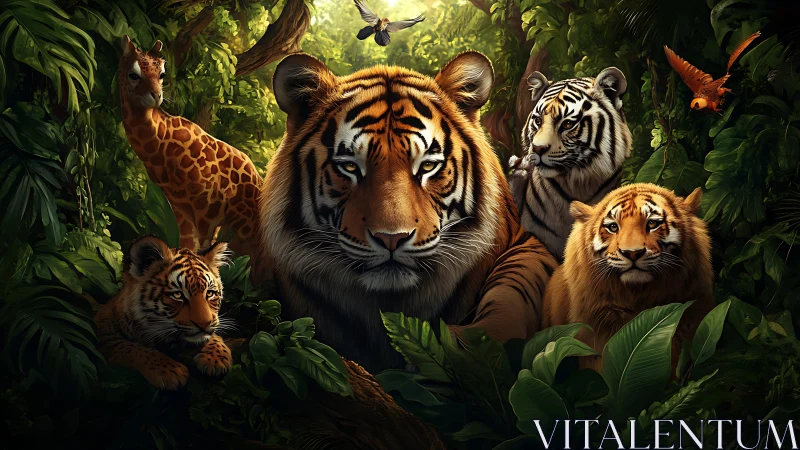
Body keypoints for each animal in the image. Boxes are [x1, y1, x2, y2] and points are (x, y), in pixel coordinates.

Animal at [95, 236, 233, 390]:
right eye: (178, 295)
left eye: (209, 293)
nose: (204, 324)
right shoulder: (103, 334)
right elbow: (130, 348)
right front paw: (171, 371)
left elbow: (213, 336)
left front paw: (215, 360)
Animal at [257, 51, 558, 372]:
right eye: (350, 167)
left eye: (427, 166)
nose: (392, 238)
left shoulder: (525, 244)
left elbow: (513, 291)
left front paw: (466, 347)